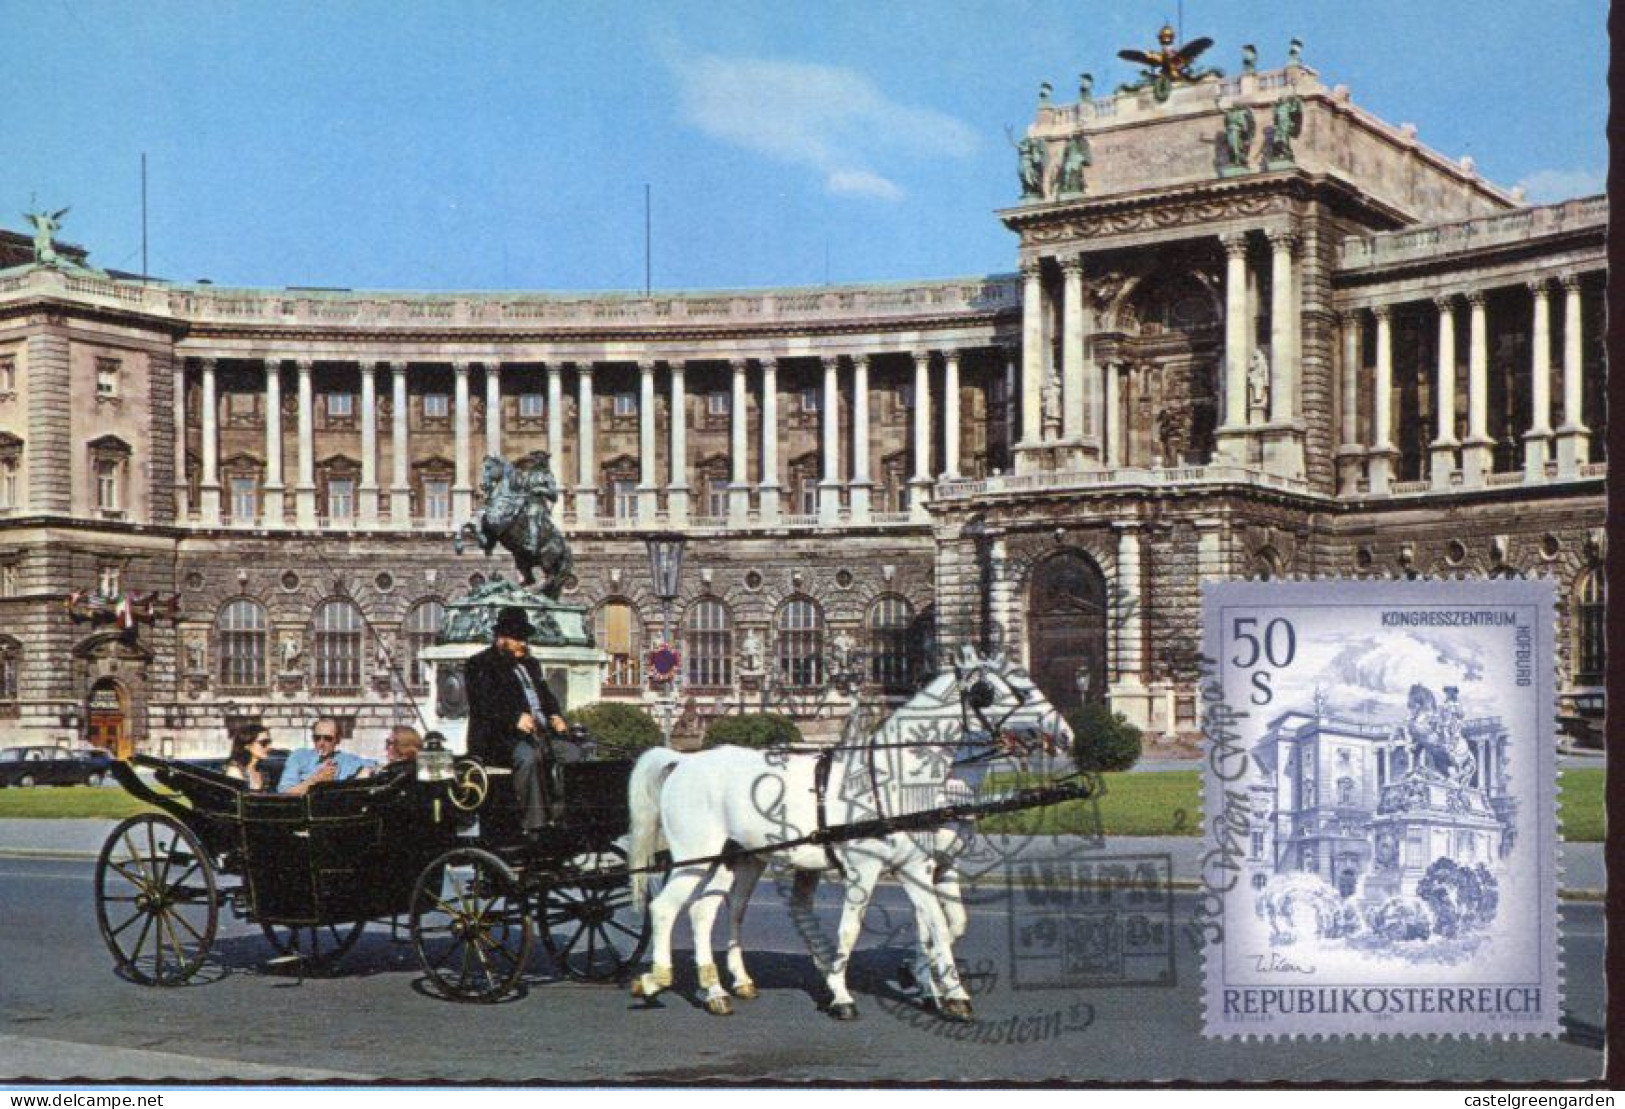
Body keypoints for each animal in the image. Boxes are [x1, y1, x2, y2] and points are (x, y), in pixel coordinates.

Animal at [620, 647, 1066, 1021]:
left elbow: (940, 924)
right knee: (665, 908)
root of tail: (683, 760)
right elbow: (852, 929)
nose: (1065, 733)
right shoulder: (864, 870)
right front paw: (842, 993)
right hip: (695, 856)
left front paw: (947, 992)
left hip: (736, 858)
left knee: (705, 911)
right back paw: (655, 979)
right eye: (999, 691)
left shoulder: (919, 867)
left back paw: (719, 990)